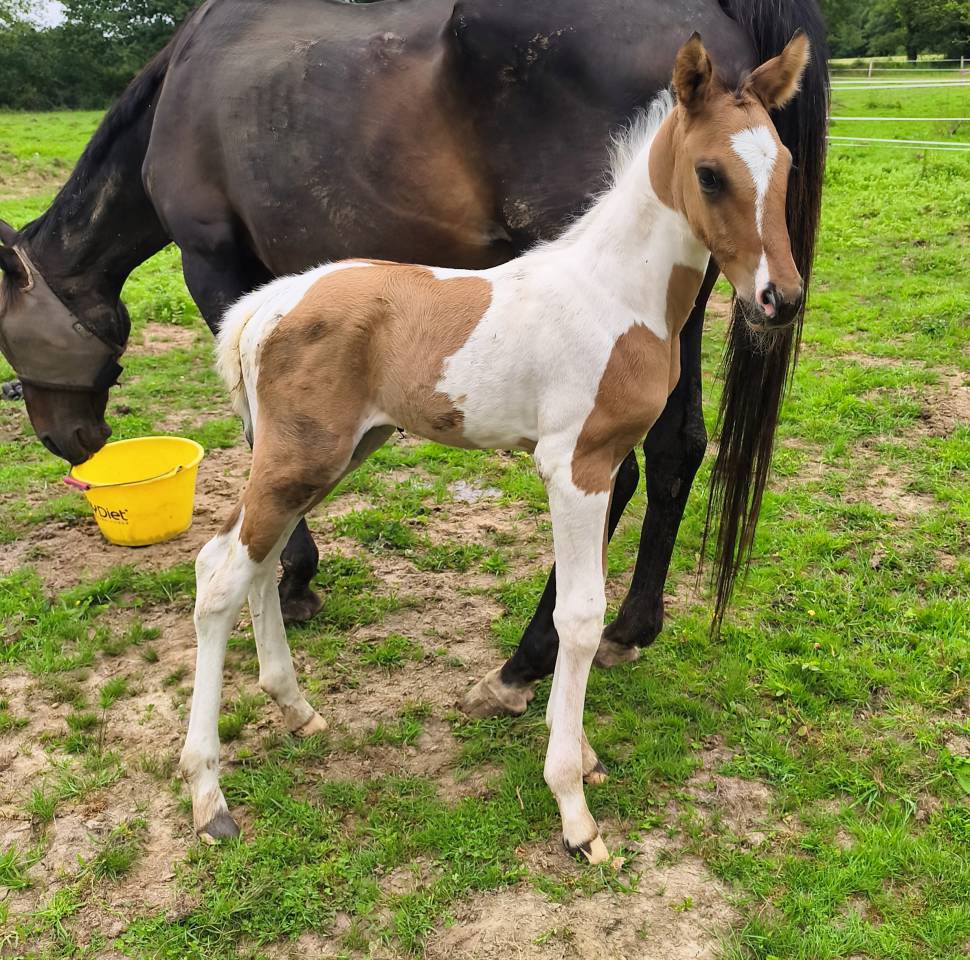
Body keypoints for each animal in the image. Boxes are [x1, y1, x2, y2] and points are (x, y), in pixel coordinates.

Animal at [0, 0, 829, 720]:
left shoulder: (215, 268)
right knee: (678, 449)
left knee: (632, 470)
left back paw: (521, 664)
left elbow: (256, 450)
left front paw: (296, 576)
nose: (69, 440)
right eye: (714, 174)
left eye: (5, 331)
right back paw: (626, 631)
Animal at [180, 32, 811, 861]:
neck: (615, 293)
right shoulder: (575, 465)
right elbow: (581, 616)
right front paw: (573, 807)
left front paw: (581, 757)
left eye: (786, 166)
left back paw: (296, 709)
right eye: (710, 173)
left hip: (326, 456)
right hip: (299, 459)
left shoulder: (607, 464)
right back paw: (209, 796)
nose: (780, 300)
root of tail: (265, 304)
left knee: (247, 561)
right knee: (224, 576)